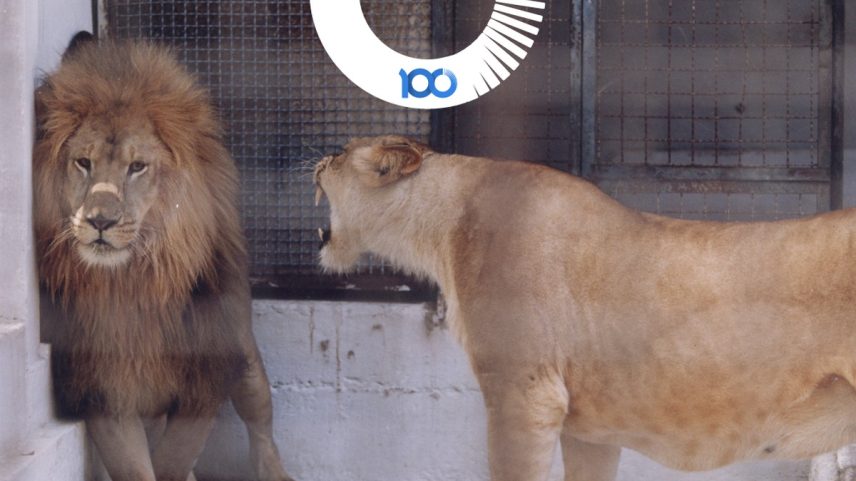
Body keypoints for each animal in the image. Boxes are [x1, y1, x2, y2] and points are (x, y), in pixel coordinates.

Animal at [34, 33, 294, 481]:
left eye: (138, 166)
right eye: (83, 162)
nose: (99, 221)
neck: (134, 282)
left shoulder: (205, 377)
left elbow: (174, 460)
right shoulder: (102, 388)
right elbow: (139, 468)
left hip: (245, 361)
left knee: (261, 425)